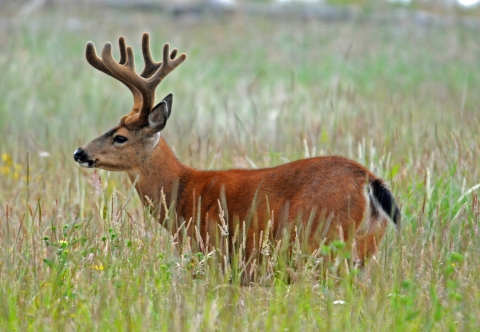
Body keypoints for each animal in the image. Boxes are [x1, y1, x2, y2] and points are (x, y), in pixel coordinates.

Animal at [73, 32, 400, 278]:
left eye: (120, 137)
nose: (80, 152)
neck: (184, 194)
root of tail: (369, 180)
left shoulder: (213, 251)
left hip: (326, 241)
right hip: (364, 246)